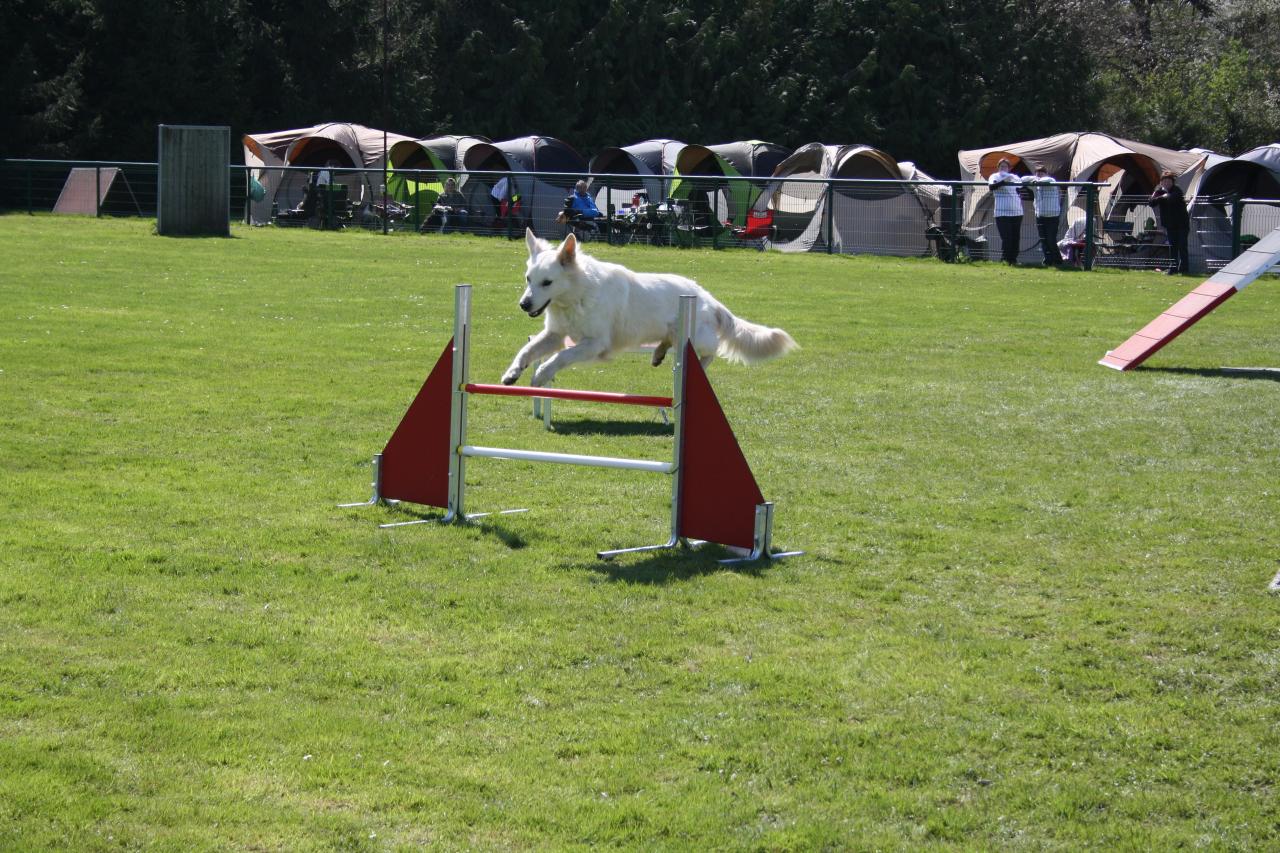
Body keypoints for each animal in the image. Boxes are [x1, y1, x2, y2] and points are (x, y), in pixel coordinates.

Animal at [501, 225, 793, 384]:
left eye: (547, 282)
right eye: (528, 279)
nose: (524, 304)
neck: (576, 295)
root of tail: (708, 298)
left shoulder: (594, 344)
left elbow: (560, 357)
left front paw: (541, 375)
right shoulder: (555, 334)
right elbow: (526, 350)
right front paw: (513, 372)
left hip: (694, 337)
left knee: (712, 350)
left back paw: (696, 364)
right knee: (671, 342)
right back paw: (658, 354)